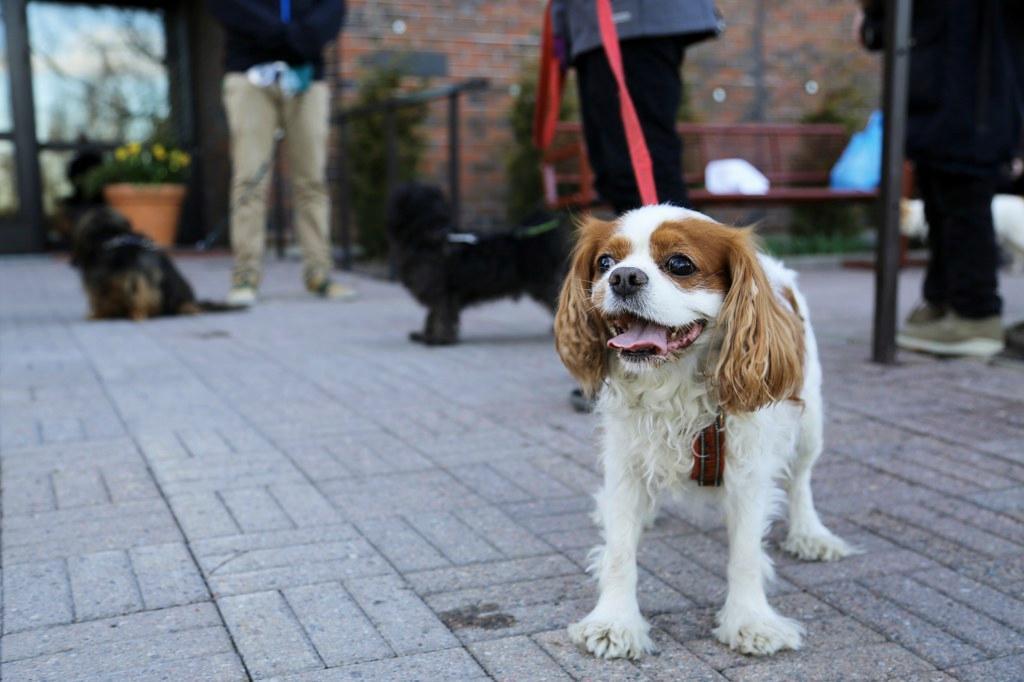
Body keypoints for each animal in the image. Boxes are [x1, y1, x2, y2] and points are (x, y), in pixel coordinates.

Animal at [387, 180, 573, 342]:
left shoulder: (442, 292)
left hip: (543, 283)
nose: (440, 228)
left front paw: (439, 339)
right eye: (422, 200)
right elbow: (431, 315)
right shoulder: (439, 292)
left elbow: (440, 314)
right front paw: (427, 335)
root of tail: (537, 237)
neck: (430, 237)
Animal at [557, 202, 851, 659]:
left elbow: (745, 553)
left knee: (801, 478)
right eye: (605, 262)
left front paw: (751, 621)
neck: (673, 382)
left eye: (680, 264)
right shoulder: (625, 462)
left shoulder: (748, 471)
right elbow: (620, 550)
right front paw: (614, 622)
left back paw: (810, 533)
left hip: (810, 422)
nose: (623, 277)